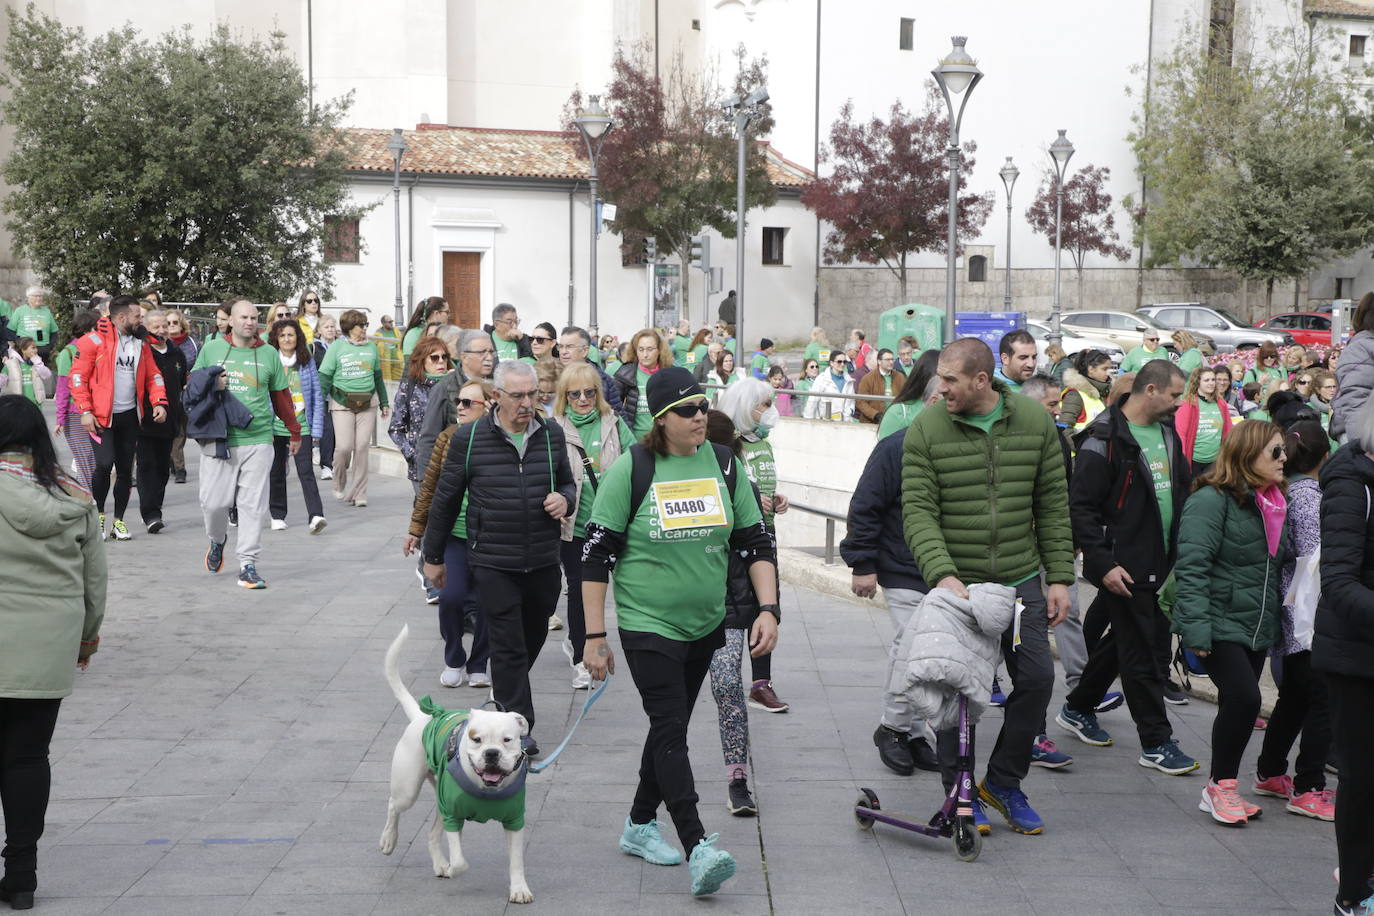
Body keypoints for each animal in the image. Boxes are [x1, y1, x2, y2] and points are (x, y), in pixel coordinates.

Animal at [379, 623, 533, 900]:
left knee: (431, 834)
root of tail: (422, 717)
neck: (487, 788)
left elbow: (516, 861)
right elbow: (460, 861)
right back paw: (389, 841)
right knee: (394, 805)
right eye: (476, 738)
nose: (491, 753)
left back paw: (440, 864)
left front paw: (519, 889)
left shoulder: (515, 820)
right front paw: (454, 868)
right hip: (409, 789)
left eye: (507, 740)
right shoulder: (452, 814)